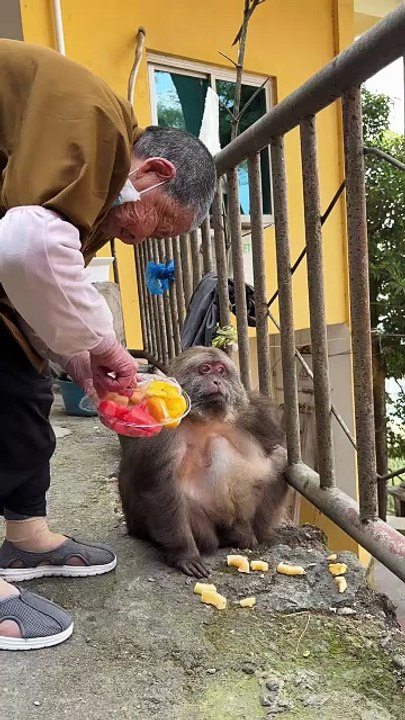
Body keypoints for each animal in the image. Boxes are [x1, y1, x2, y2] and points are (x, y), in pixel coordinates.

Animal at [118, 346, 288, 578]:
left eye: (221, 371)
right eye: (205, 369)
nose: (217, 381)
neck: (204, 420)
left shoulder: (252, 412)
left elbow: (274, 446)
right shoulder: (162, 429)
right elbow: (158, 486)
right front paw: (184, 555)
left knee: (277, 460)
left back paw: (241, 531)